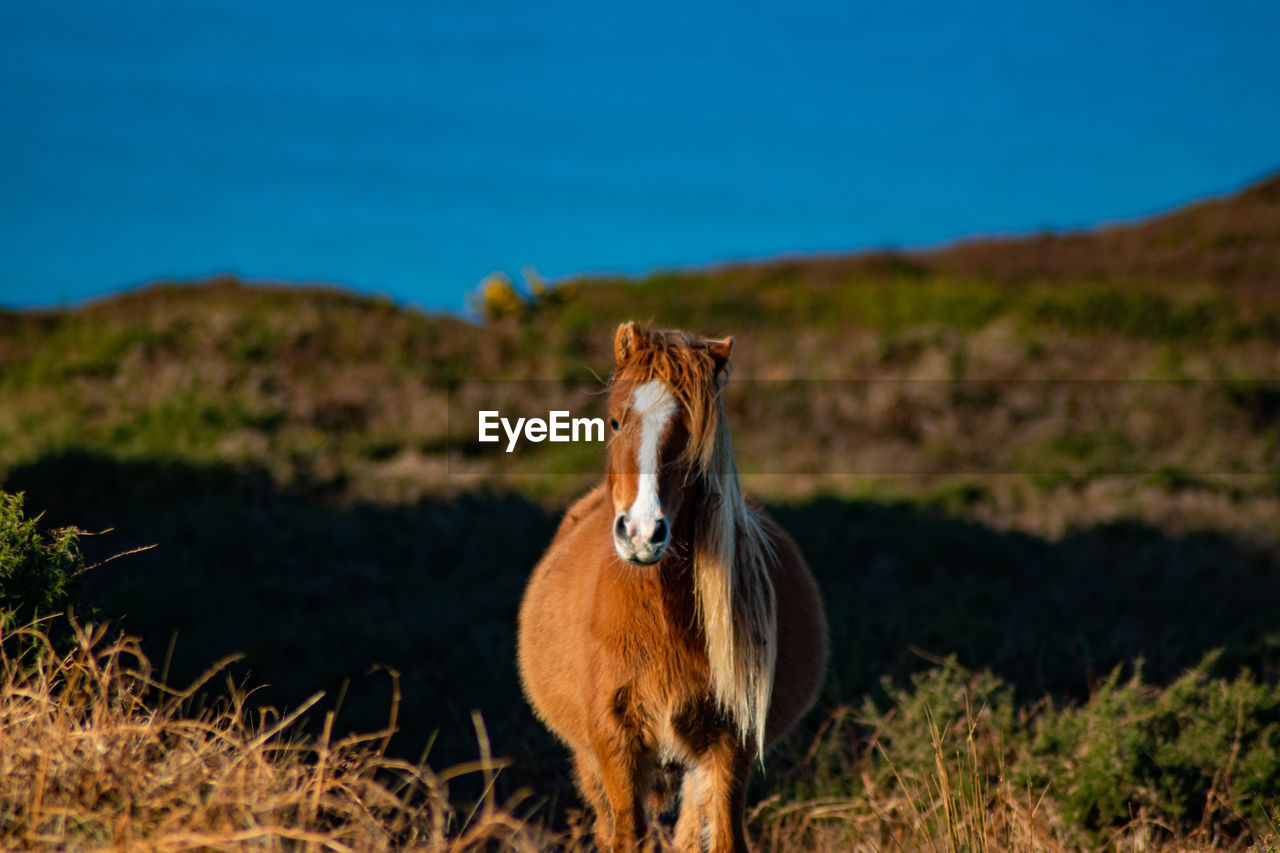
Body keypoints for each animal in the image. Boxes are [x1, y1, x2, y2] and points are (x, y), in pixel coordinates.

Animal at [519, 322, 829, 845]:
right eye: (614, 421)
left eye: (691, 436)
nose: (642, 533)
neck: (658, 619)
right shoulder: (615, 746)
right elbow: (627, 836)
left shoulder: (728, 749)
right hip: (590, 762)